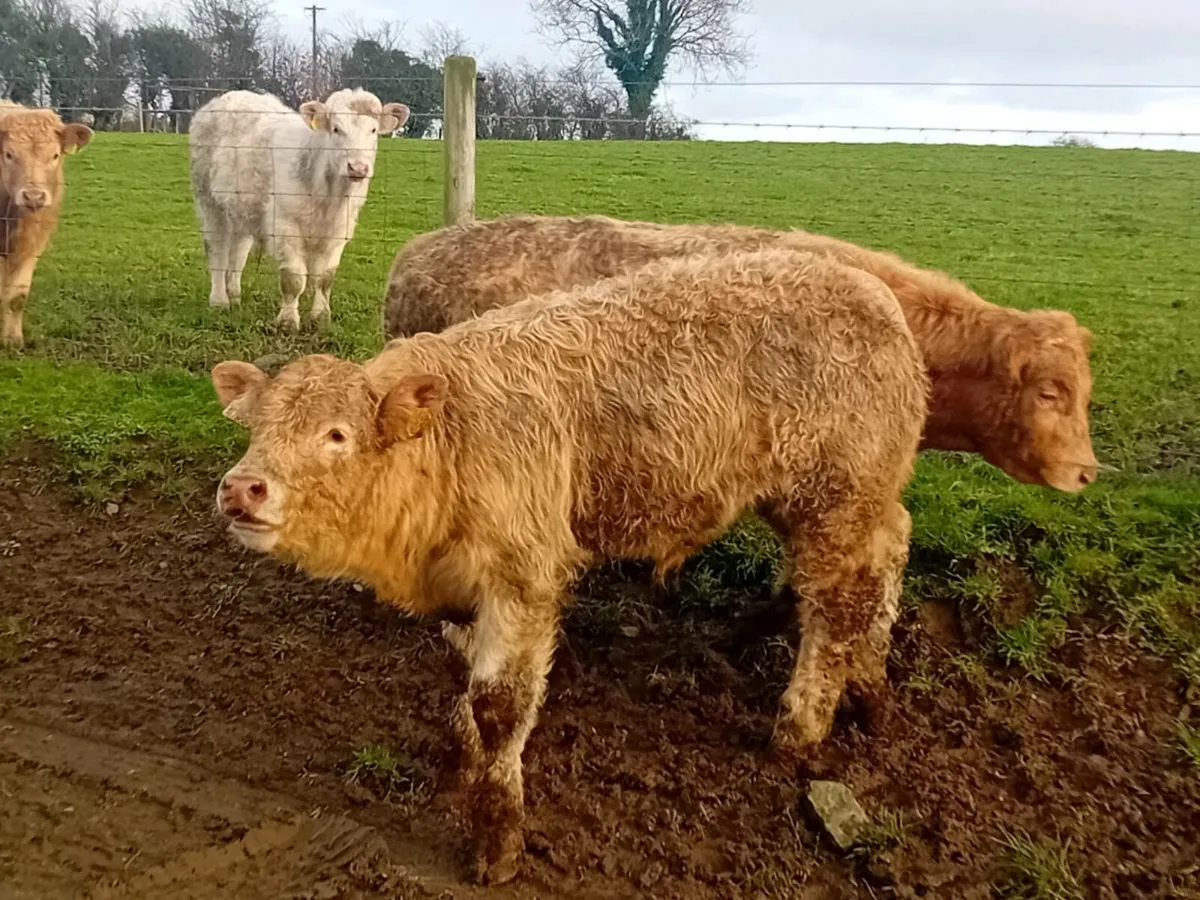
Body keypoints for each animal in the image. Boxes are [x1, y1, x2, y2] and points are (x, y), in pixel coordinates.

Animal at [0, 102, 92, 349]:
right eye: (9, 154)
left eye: (55, 155)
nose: (34, 197)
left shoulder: (32, 244)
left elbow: (17, 296)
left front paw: (13, 340)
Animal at [188, 88, 409, 331]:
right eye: (336, 129)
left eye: (373, 130)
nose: (358, 167)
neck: (328, 196)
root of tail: (227, 97)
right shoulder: (285, 227)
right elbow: (293, 279)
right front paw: (287, 322)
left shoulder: (339, 230)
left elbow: (325, 277)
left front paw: (321, 317)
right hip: (209, 201)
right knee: (217, 250)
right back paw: (219, 300)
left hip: (241, 210)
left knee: (238, 252)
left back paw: (235, 296)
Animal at [210, 248, 929, 884]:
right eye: (256, 429)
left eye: (336, 434)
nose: (242, 487)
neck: (450, 442)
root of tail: (872, 292)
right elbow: (466, 677)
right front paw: (462, 757)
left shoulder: (525, 574)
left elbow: (500, 703)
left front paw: (497, 842)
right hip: (838, 499)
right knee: (888, 550)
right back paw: (869, 689)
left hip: (836, 494)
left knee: (837, 599)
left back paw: (800, 727)